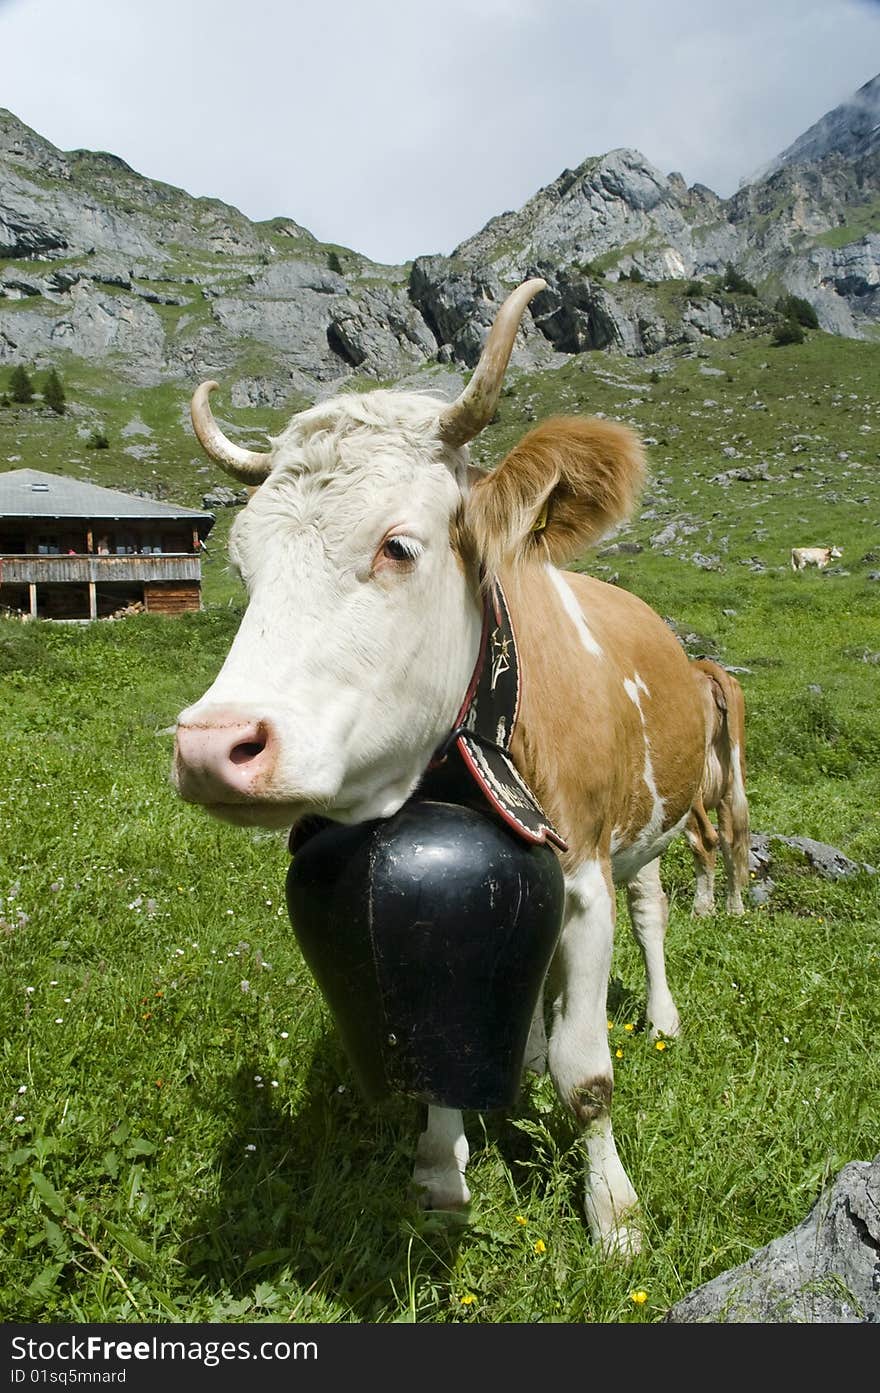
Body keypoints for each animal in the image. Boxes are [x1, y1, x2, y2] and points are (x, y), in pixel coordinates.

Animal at [173, 279, 712, 1264]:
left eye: (398, 545)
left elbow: (589, 1075)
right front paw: (440, 1172)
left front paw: (613, 1214)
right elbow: (438, 1036)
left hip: (650, 832)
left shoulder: (584, 874)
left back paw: (660, 1015)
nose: (212, 744)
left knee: (652, 913)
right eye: (241, 561)